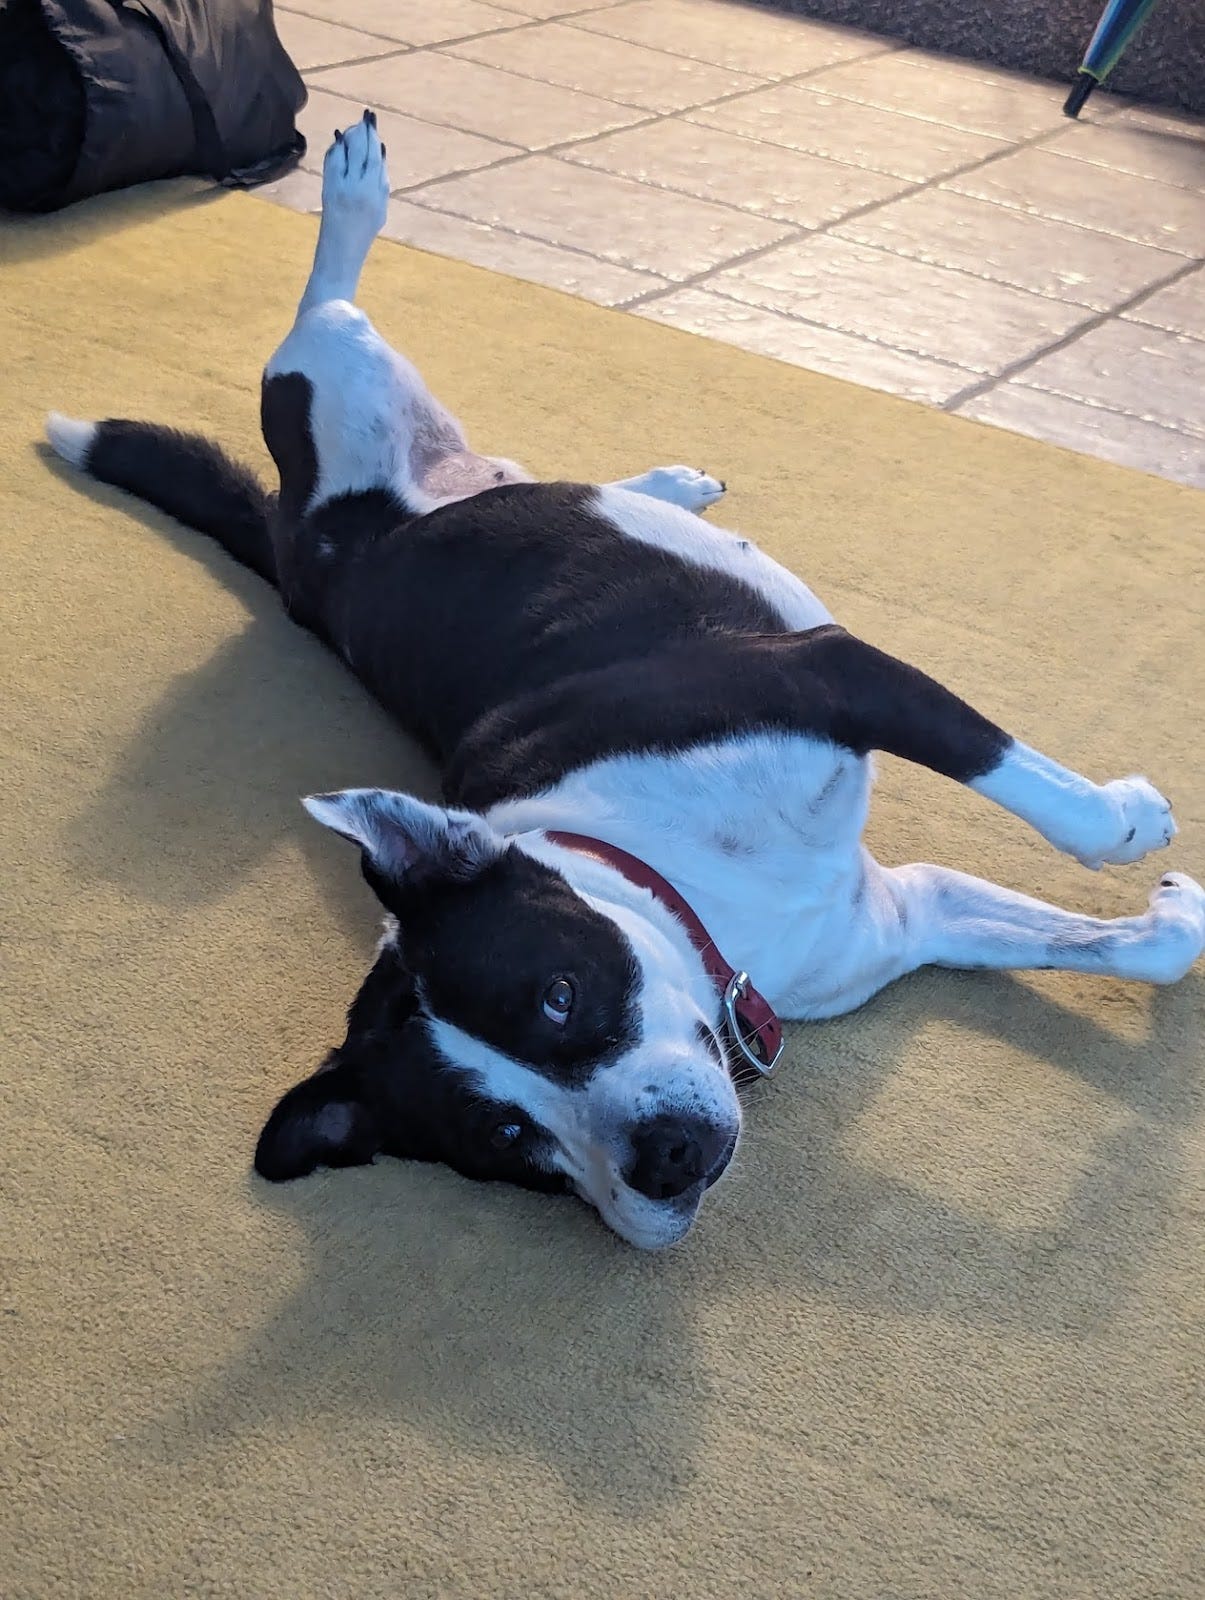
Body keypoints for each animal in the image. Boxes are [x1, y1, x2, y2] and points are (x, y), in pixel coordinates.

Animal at [47, 118, 1203, 1254]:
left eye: (559, 994)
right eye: (507, 1140)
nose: (662, 1160)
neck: (677, 884)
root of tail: (315, 560)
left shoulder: (831, 674)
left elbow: (1037, 795)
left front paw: (1127, 822)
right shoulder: (895, 912)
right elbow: (1118, 945)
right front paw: (1164, 908)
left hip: (350, 386)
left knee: (325, 311)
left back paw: (360, 200)